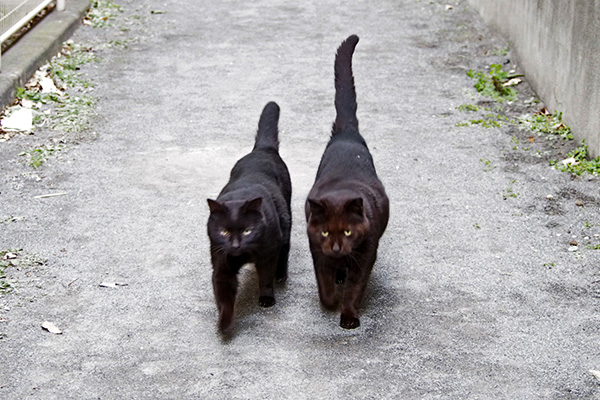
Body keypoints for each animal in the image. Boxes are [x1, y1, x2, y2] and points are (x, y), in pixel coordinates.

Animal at [207, 102, 292, 334]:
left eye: (247, 231)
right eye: (224, 231)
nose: (236, 244)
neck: (242, 255)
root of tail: (262, 150)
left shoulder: (268, 253)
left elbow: (266, 277)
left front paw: (266, 299)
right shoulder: (221, 262)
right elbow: (223, 294)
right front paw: (224, 324)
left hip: (285, 220)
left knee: (285, 247)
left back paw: (281, 274)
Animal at [304, 35, 390, 328]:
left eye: (349, 232)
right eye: (325, 232)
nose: (336, 247)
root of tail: (347, 133)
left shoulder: (366, 254)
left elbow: (355, 288)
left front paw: (349, 317)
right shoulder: (317, 250)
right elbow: (324, 283)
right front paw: (330, 303)